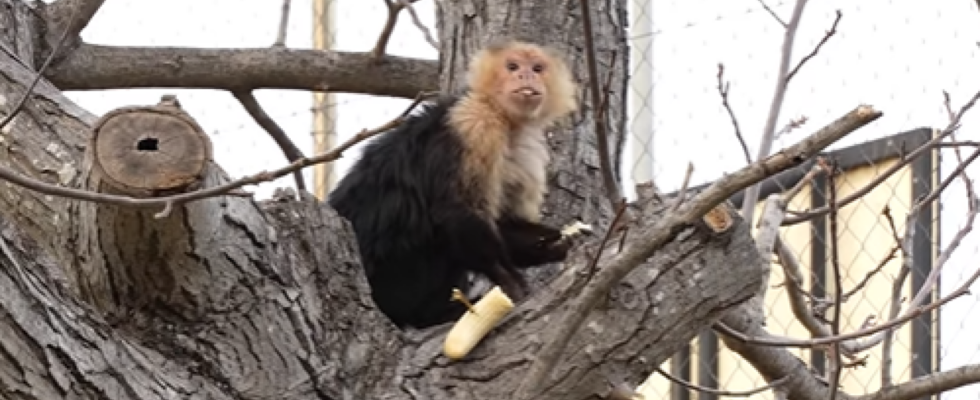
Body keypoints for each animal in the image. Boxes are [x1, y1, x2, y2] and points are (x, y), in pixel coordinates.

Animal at [330, 39, 588, 328]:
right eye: (512, 66)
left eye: (537, 68)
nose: (526, 76)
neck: (506, 120)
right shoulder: (474, 124)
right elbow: (456, 212)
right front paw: (511, 282)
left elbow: (502, 222)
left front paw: (553, 243)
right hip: (395, 280)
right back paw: (433, 314)